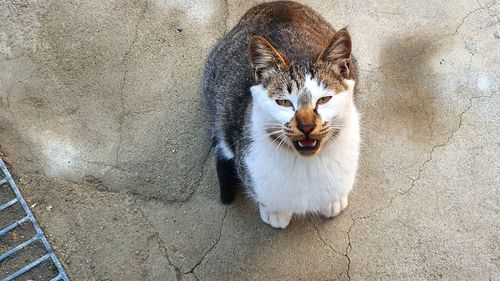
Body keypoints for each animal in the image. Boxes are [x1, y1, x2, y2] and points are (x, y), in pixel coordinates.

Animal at [201, 1, 362, 228]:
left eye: (324, 99)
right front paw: (274, 211)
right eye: (284, 102)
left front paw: (334, 199)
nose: (306, 126)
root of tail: (275, 3)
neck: (306, 164)